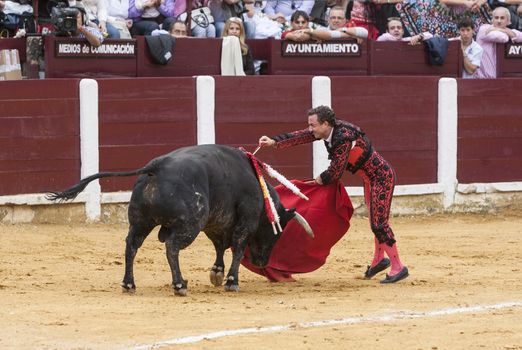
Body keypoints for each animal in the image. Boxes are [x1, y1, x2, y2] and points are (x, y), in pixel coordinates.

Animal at [46, 145, 310, 296]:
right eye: (277, 232)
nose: (262, 262)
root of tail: (156, 167)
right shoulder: (243, 222)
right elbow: (236, 248)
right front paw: (231, 281)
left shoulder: (215, 223)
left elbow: (220, 246)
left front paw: (216, 273)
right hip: (189, 225)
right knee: (172, 247)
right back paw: (180, 285)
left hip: (141, 222)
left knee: (131, 246)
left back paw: (129, 284)